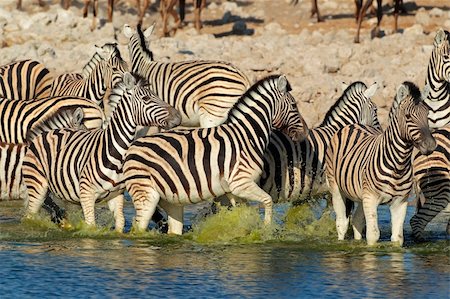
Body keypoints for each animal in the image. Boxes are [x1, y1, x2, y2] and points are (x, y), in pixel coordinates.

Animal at [22, 72, 181, 232]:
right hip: (37, 187)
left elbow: (120, 222)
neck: (115, 154)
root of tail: (46, 133)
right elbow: (91, 226)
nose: (178, 117)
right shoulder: (86, 194)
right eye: (146, 98)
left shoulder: (116, 195)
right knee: (29, 216)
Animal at [123, 74, 310, 236]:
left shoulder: (233, 191)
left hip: (170, 199)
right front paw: (265, 229)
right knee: (138, 229)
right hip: (146, 194)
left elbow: (245, 212)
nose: (305, 133)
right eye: (294, 105)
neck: (246, 135)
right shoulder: (241, 183)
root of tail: (132, 148)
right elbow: (268, 200)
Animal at [326, 82, 438, 246]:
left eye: (427, 115)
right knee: (342, 223)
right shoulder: (371, 199)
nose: (430, 145)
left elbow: (397, 237)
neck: (398, 164)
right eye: (408, 116)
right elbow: (373, 234)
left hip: (361, 195)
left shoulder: (400, 202)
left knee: (357, 221)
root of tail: (354, 124)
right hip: (336, 189)